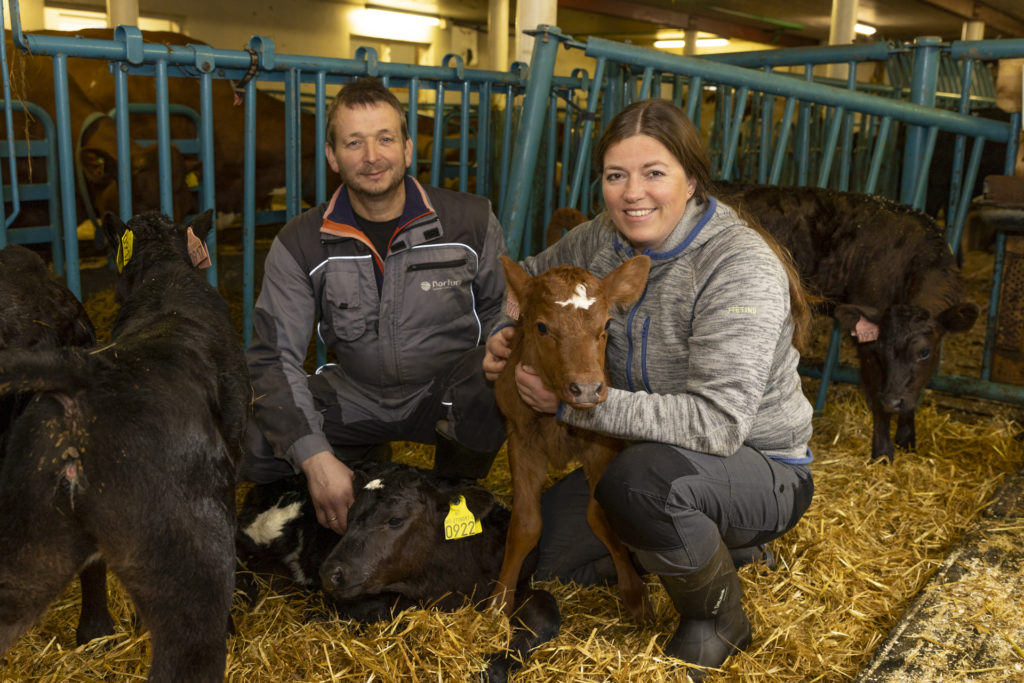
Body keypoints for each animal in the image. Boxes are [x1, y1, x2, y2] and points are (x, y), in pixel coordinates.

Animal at [491, 254, 651, 626]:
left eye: (607, 324)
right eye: (541, 327)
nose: (587, 389)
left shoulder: (600, 447)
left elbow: (600, 516)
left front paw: (634, 593)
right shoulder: (521, 439)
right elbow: (526, 524)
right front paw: (499, 602)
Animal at [716, 181, 978, 462]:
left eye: (925, 352)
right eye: (880, 354)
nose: (892, 401)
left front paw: (907, 440)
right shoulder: (866, 343)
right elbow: (876, 398)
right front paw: (883, 453)